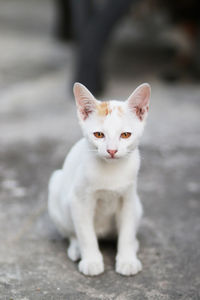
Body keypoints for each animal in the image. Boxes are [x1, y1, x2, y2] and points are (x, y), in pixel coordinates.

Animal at [48, 82, 150, 276]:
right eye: (99, 135)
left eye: (125, 135)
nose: (112, 150)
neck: (111, 170)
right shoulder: (79, 201)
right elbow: (85, 234)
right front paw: (91, 260)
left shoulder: (128, 197)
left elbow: (127, 231)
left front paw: (127, 260)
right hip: (56, 190)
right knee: (72, 232)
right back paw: (76, 249)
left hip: (138, 205)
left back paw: (133, 245)